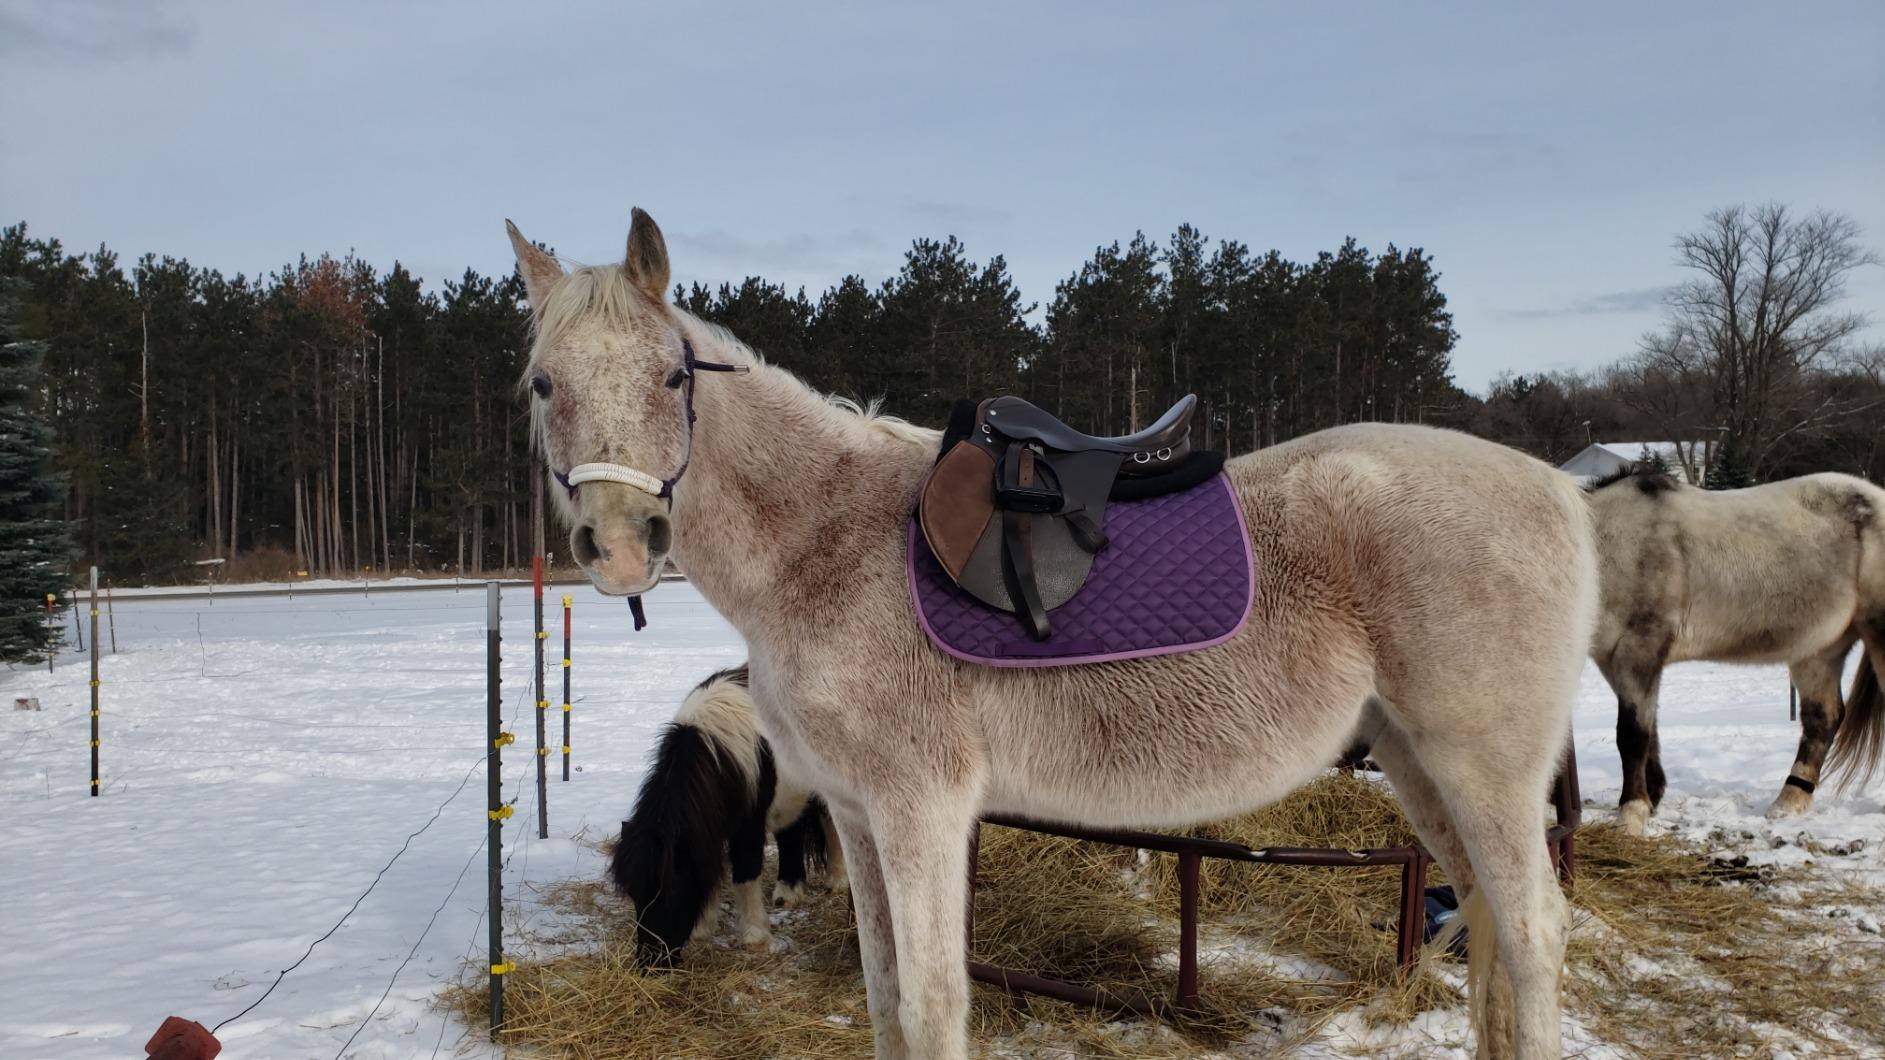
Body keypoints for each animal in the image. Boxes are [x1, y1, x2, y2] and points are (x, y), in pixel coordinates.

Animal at [611, 664, 846, 964]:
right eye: (634, 894)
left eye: (671, 890)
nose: (651, 962)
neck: (720, 753)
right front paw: (701, 931)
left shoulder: (749, 826)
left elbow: (746, 874)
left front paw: (755, 937)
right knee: (790, 834)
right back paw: (788, 894)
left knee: (832, 827)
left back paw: (837, 881)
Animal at [1585, 466, 1885, 834]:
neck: (1612, 544)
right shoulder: (1613, 660)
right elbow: (1649, 728)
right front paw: (1652, 796)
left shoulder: (1638, 650)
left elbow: (1632, 735)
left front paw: (1632, 812)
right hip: (1819, 649)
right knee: (1822, 719)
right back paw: (1788, 802)